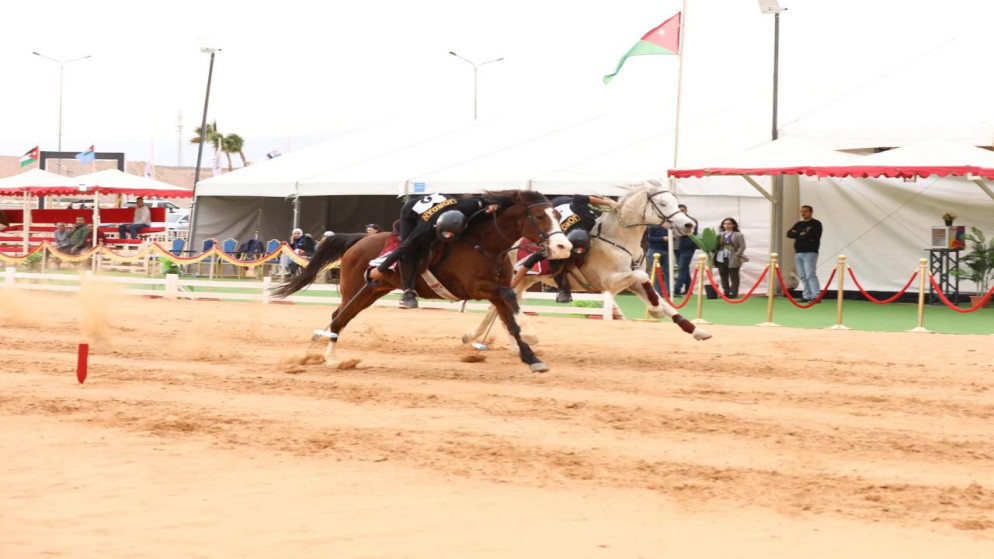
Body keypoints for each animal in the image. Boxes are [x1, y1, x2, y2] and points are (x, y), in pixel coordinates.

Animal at [272, 191, 568, 372]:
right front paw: (531, 335)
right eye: (539, 216)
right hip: (356, 289)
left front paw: (531, 357)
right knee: (338, 317)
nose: (563, 246)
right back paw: (330, 358)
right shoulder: (477, 288)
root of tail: (358, 240)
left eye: (557, 215)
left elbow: (510, 318)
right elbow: (509, 298)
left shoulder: (494, 290)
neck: (483, 244)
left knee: (341, 316)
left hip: (371, 292)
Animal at [462, 179, 708, 346]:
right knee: (495, 309)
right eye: (663, 203)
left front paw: (694, 329)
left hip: (523, 282)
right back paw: (476, 337)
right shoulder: (611, 282)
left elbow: (657, 294)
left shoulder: (630, 281)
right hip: (514, 279)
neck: (618, 238)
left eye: (676, 201)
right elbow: (645, 279)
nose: (689, 225)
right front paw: (655, 310)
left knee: (499, 310)